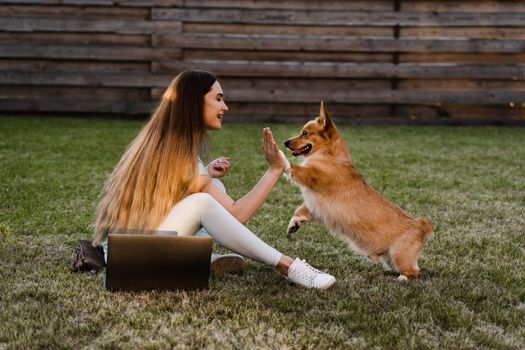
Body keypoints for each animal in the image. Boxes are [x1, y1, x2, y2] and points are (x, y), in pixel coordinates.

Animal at [280, 102, 432, 282]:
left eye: (304, 133)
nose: (285, 142)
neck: (328, 155)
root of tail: (420, 225)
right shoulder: (316, 207)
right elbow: (300, 210)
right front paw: (293, 225)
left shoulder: (312, 176)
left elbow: (296, 169)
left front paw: (278, 157)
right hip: (390, 257)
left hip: (399, 255)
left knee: (414, 271)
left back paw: (402, 278)